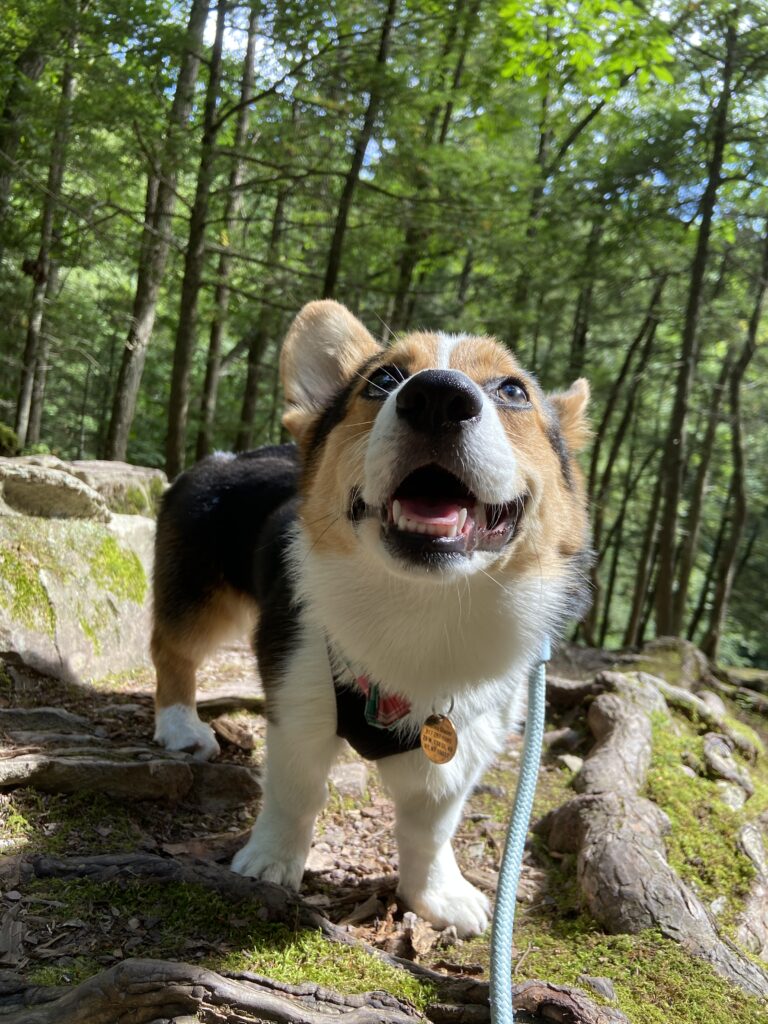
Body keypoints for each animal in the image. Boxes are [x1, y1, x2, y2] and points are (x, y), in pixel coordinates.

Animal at [154, 301, 589, 937]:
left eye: (512, 390)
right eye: (383, 379)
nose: (438, 397)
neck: (424, 606)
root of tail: (224, 456)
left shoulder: (467, 737)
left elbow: (431, 826)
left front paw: (436, 895)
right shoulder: (299, 702)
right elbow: (294, 793)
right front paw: (270, 863)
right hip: (199, 598)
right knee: (173, 652)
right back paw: (181, 726)